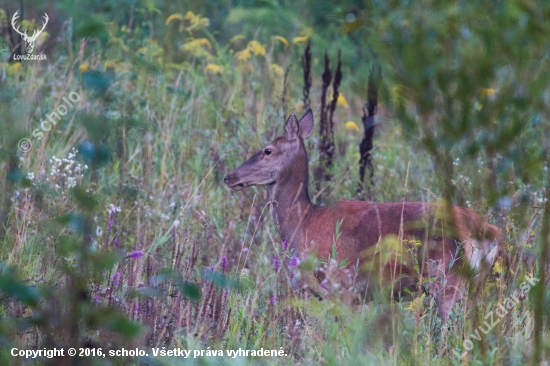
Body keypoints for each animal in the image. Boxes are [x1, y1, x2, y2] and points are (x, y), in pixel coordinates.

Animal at [224, 109, 504, 320]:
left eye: (267, 150)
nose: (229, 176)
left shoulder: (342, 285)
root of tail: (487, 230)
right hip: (476, 283)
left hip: (447, 277)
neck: (304, 224)